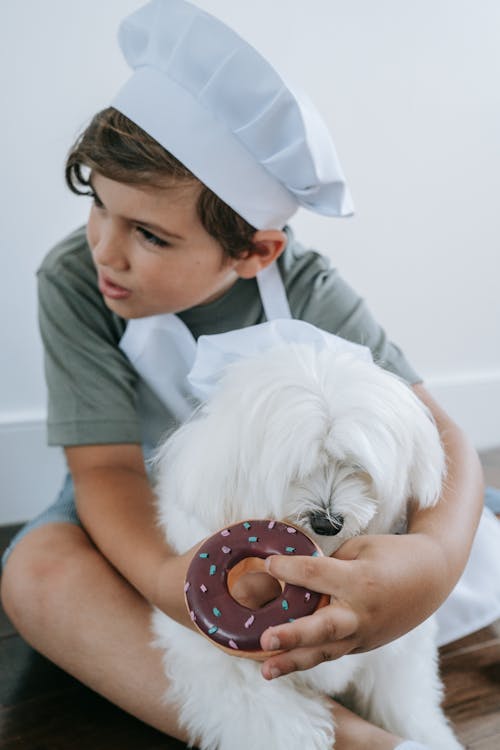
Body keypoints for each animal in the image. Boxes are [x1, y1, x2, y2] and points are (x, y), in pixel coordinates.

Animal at [151, 346, 460, 750]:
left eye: (355, 465)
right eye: (295, 470)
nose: (327, 522)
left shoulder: (397, 644)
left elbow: (408, 702)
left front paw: (434, 737)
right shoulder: (217, 663)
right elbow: (273, 723)